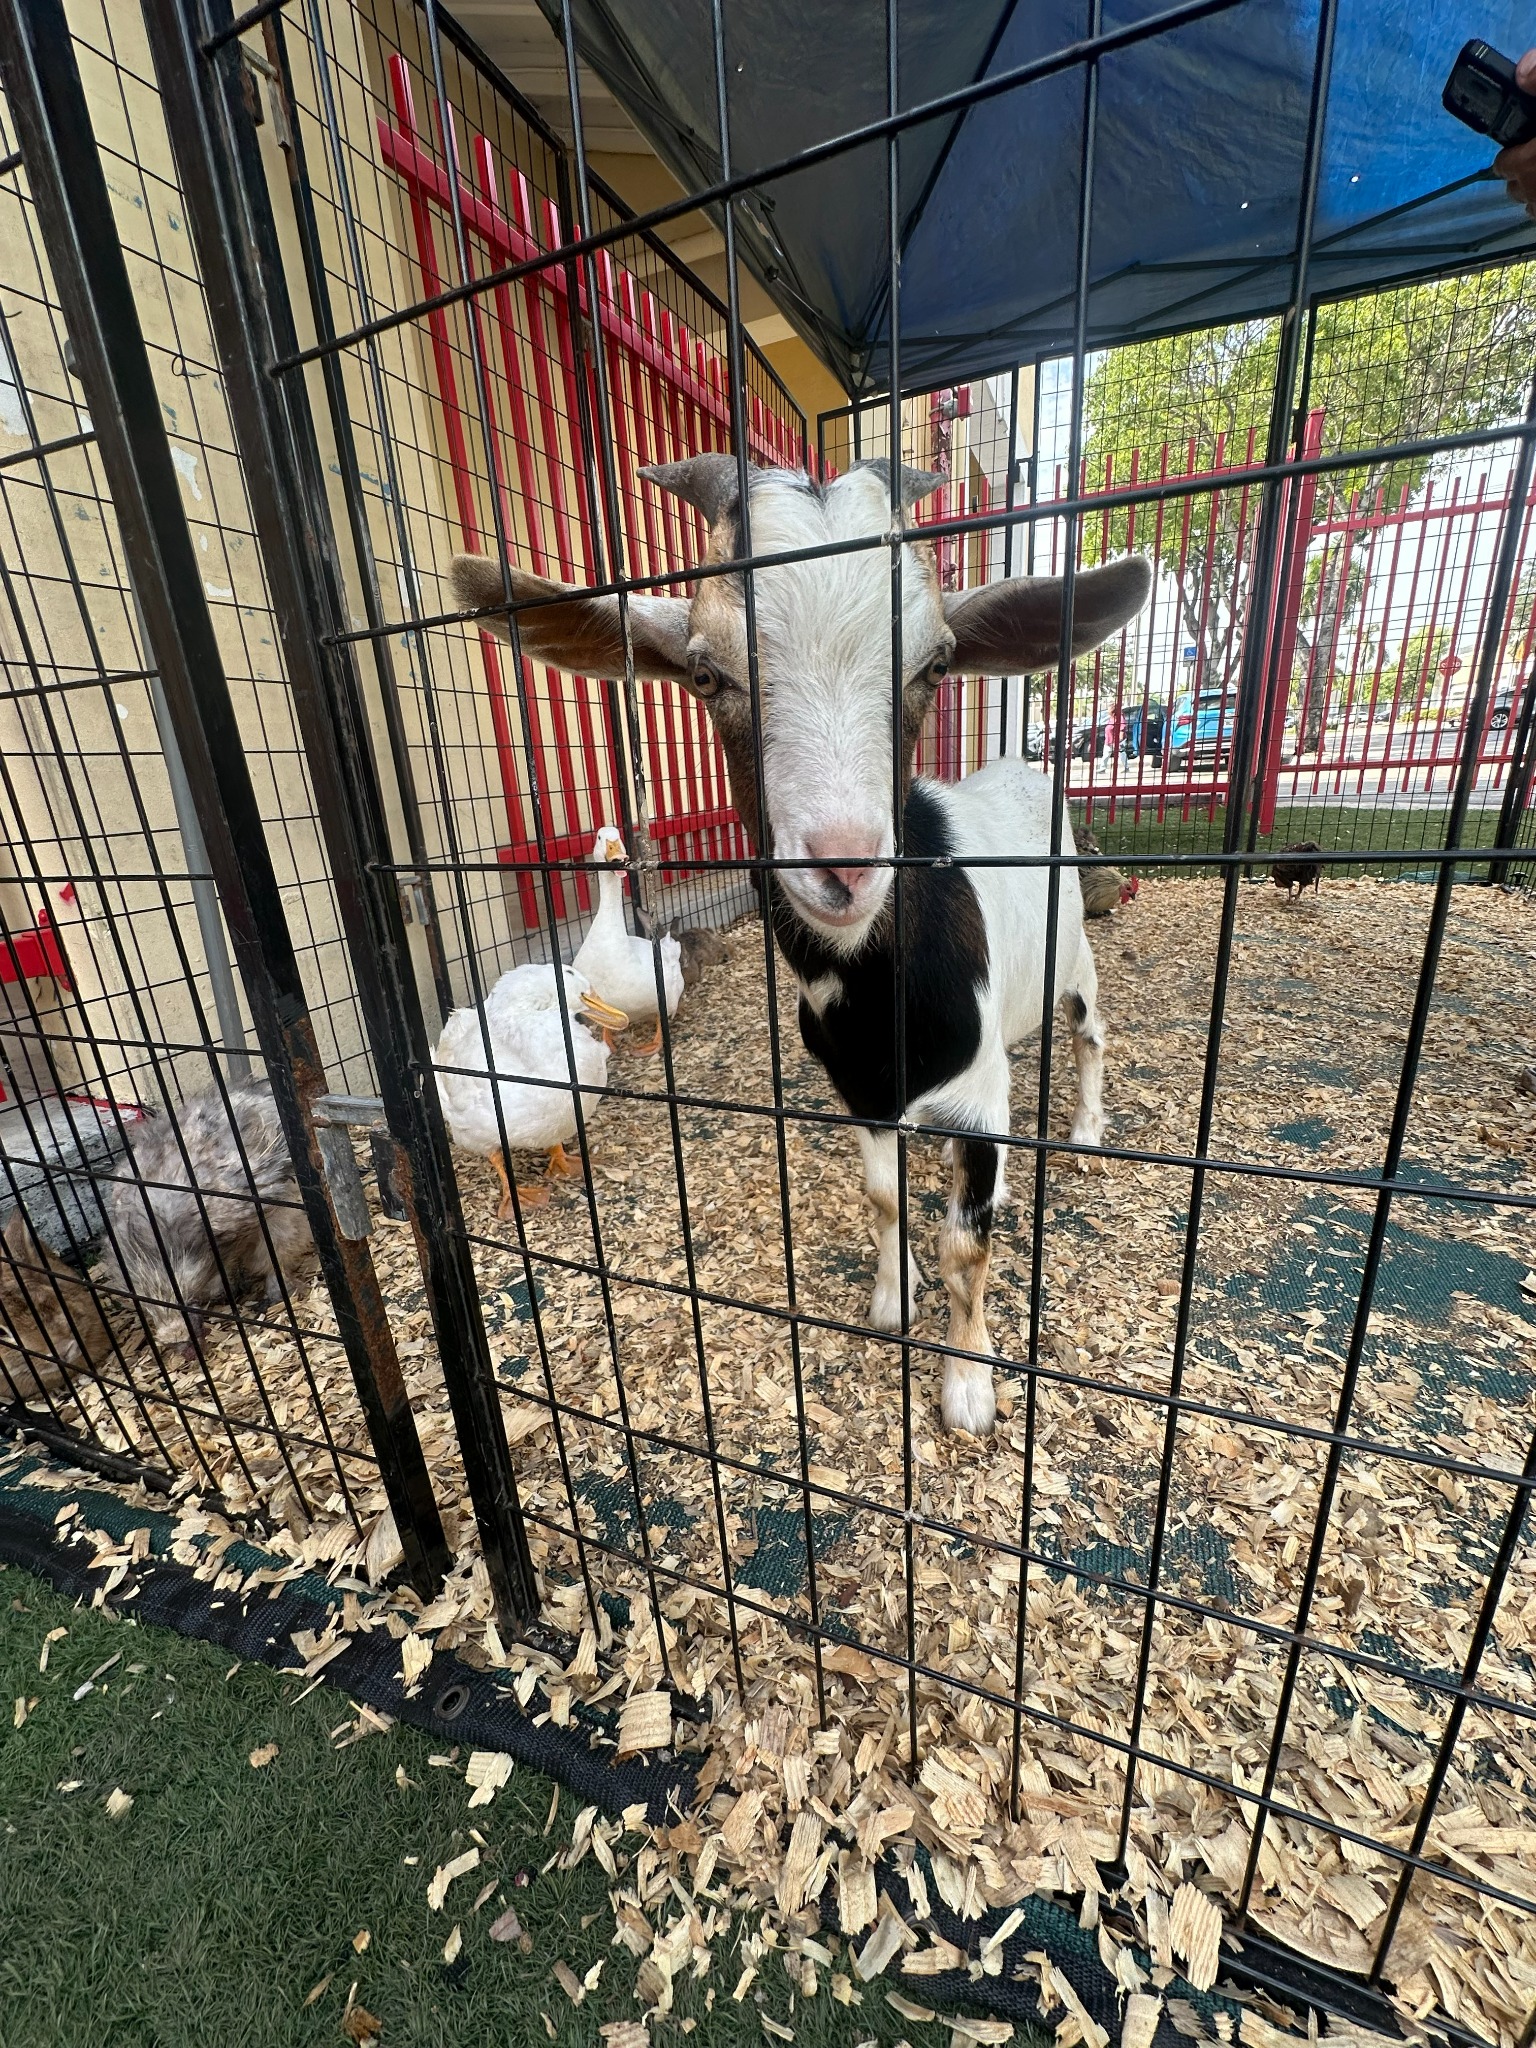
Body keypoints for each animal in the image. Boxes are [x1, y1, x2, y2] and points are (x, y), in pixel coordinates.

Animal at [451, 457, 1151, 1434]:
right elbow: (885, 1198)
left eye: (935, 664)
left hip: (1073, 951)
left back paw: (1083, 1128)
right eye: (705, 673)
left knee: (1088, 1031)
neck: (875, 998)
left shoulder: (974, 1092)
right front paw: (892, 1301)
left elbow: (965, 1250)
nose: (847, 864)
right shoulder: (861, 1092)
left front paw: (969, 1387)